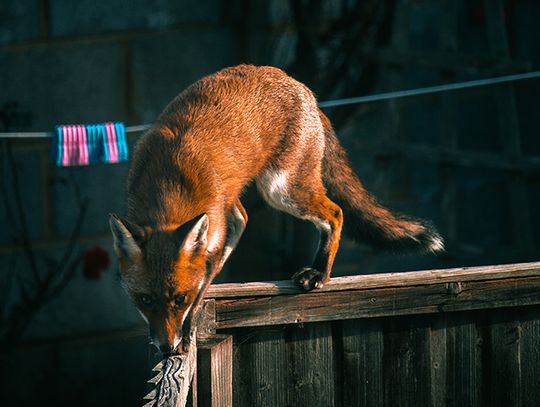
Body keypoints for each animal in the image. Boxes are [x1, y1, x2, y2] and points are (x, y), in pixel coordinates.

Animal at [108, 63, 442, 354]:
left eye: (180, 299)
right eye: (144, 300)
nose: (166, 348)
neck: (170, 182)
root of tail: (303, 89)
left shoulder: (213, 227)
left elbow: (205, 276)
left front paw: (189, 330)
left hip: (281, 189)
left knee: (335, 212)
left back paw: (320, 272)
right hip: (257, 193)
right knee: (243, 217)